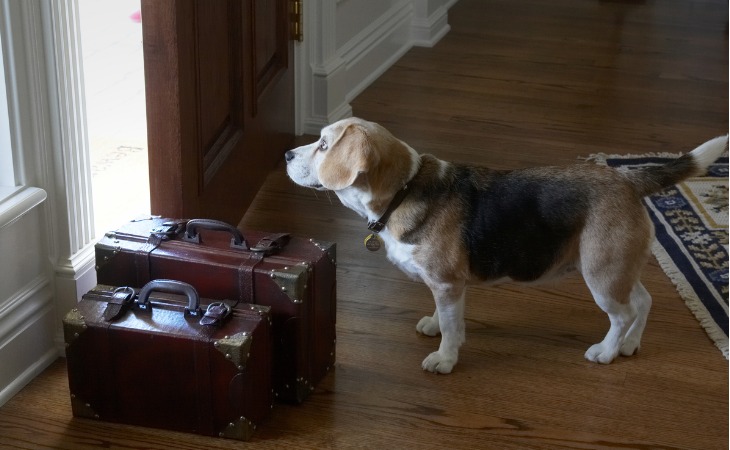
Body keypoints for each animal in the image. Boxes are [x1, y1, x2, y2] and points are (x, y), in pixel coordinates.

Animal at [282, 116, 724, 372]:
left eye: (324, 146)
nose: (286, 153)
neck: (404, 191)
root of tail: (629, 179)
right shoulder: (446, 286)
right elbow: (446, 317)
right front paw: (435, 326)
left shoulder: (446, 283)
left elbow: (452, 327)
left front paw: (445, 358)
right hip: (618, 267)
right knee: (643, 303)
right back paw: (631, 345)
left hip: (602, 273)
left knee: (623, 313)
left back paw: (608, 351)